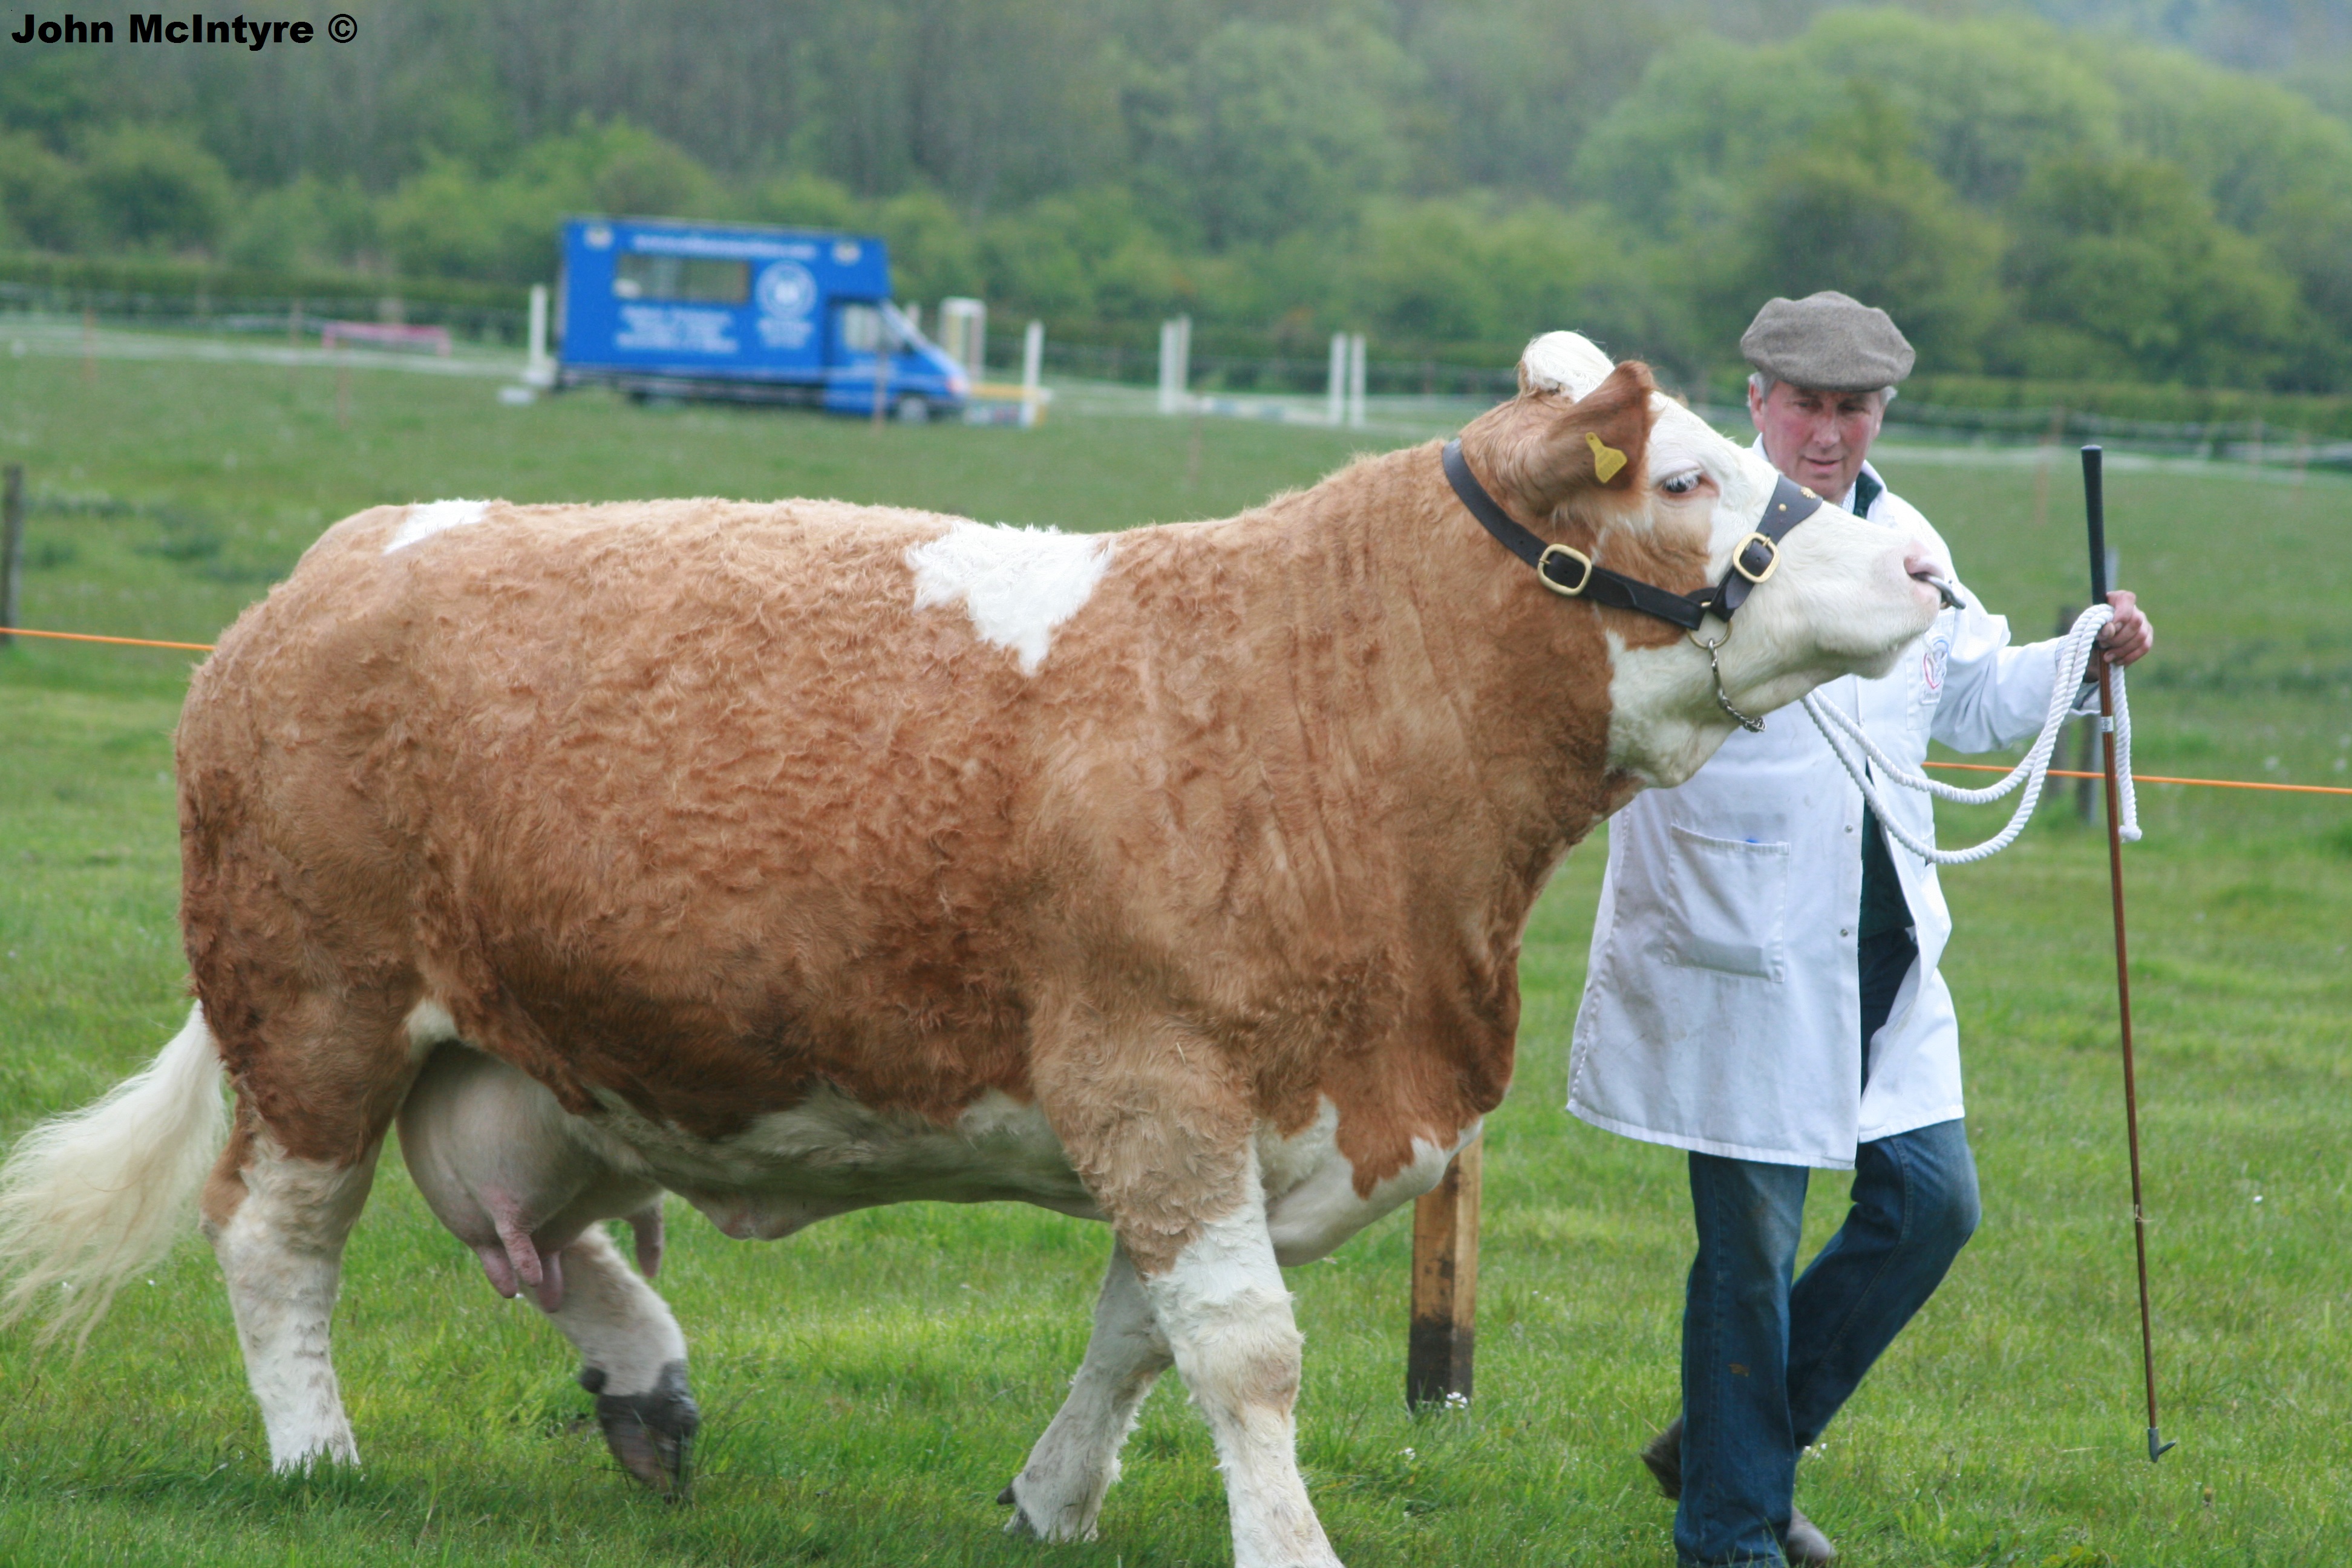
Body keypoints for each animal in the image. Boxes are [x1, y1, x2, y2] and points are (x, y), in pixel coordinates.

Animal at [0, 333, 1948, 1567]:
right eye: (1687, 472)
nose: (1928, 568)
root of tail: (330, 565)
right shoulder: (1156, 1072)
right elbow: (1241, 1346)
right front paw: (1286, 1542)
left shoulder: (1240, 1108)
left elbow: (1136, 1334)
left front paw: (1054, 1496)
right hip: (313, 1004)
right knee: (276, 1236)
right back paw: (318, 1454)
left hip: (553, 1040)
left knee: (521, 1222)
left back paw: (643, 1372)